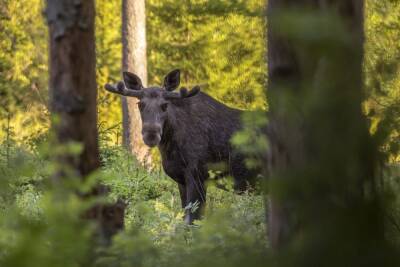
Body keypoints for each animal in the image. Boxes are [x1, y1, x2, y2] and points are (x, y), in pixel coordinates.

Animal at [104, 69, 258, 224]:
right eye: (140, 104)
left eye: (165, 105)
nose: (151, 134)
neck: (170, 148)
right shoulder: (182, 179)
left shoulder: (198, 175)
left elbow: (193, 220)